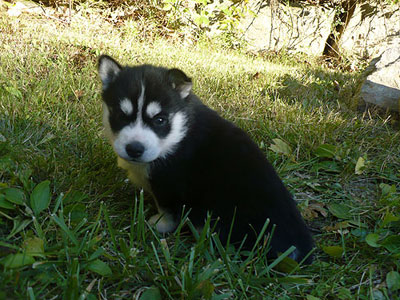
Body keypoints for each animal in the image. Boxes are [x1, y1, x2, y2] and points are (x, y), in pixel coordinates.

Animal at [98, 54, 314, 262]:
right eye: (121, 115)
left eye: (160, 120)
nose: (134, 149)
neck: (177, 136)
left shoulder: (170, 185)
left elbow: (167, 209)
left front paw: (159, 224)